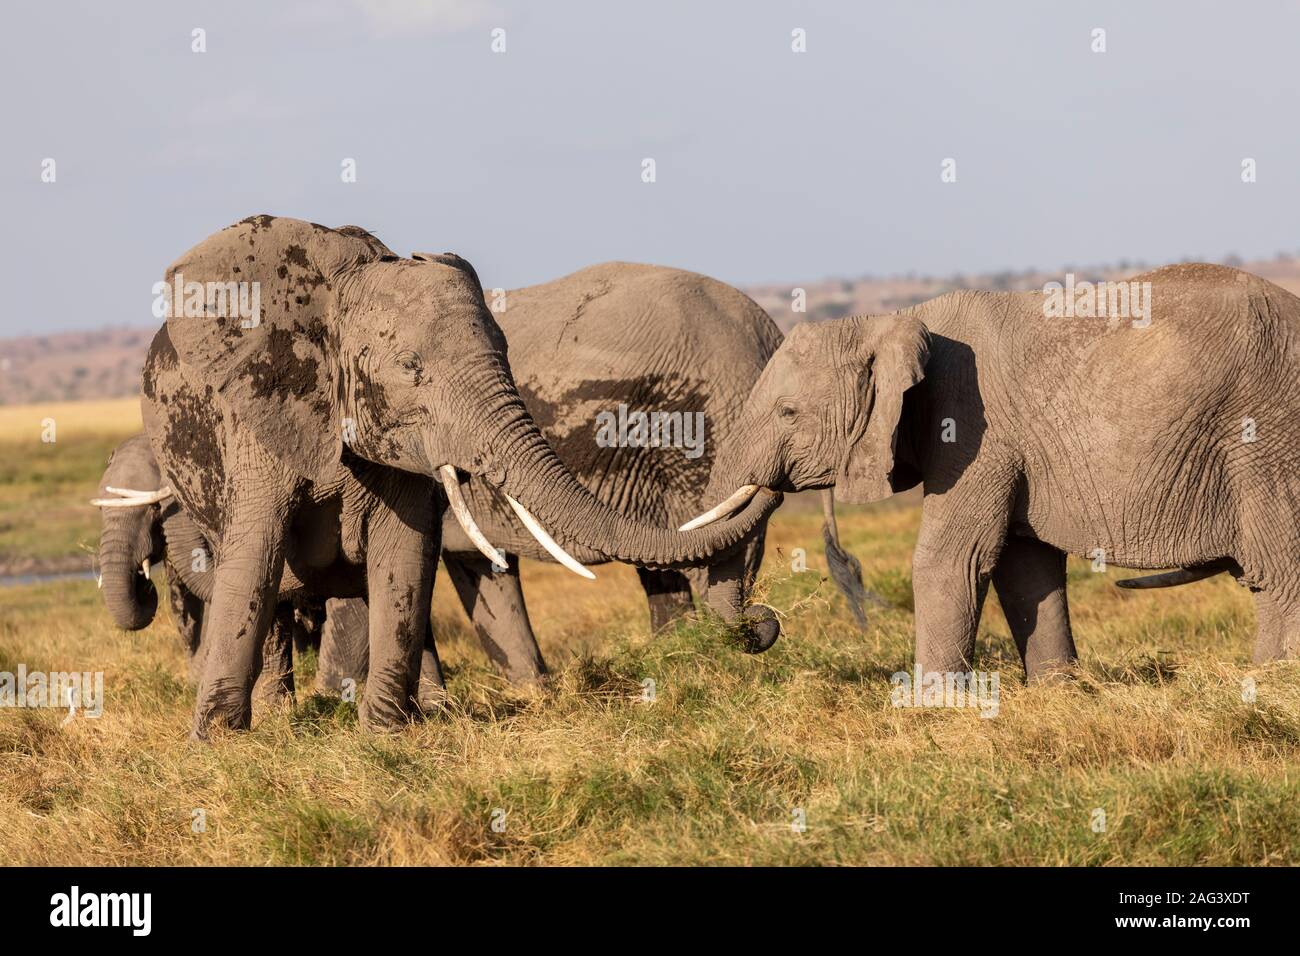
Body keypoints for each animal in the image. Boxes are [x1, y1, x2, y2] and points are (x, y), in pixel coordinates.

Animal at [143, 218, 774, 738]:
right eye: (409, 368)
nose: (766, 623)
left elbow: (404, 555)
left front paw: (389, 731)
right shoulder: (260, 409)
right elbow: (259, 551)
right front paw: (219, 743)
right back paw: (280, 714)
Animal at [686, 264, 1300, 671]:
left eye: (788, 413)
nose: (762, 623)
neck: (896, 322)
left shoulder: (972, 430)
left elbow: (951, 558)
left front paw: (930, 709)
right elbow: (1024, 564)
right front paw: (1059, 690)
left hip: (1267, 438)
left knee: (1279, 569)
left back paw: (1268, 684)